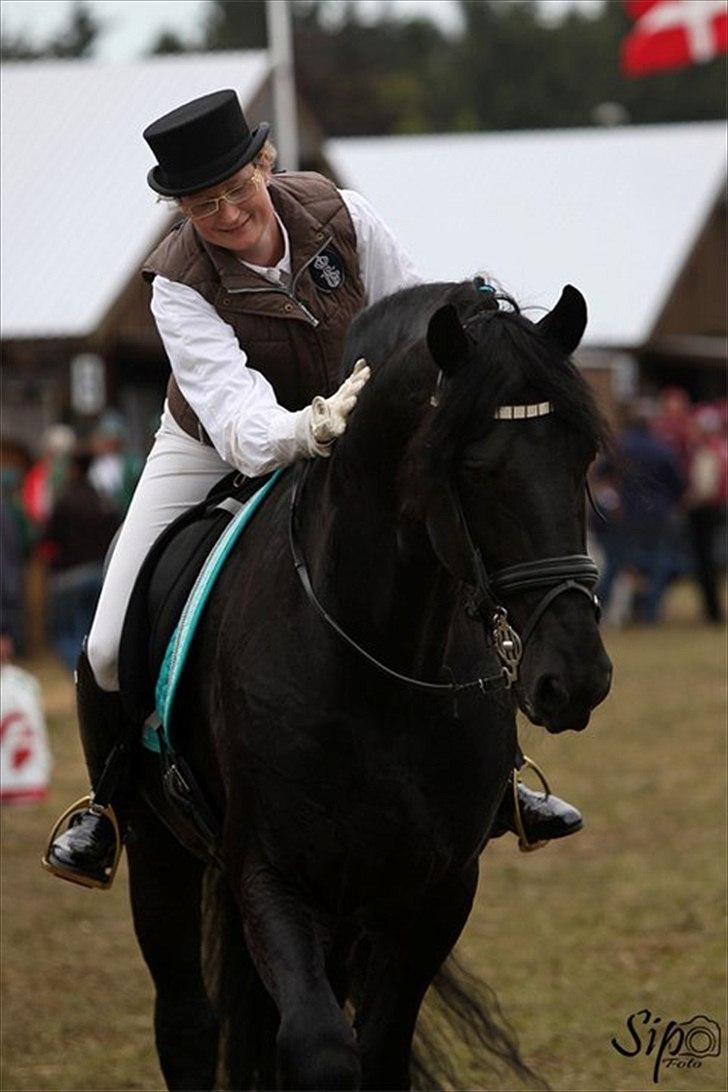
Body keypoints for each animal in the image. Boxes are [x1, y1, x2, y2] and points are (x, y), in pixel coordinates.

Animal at [123, 277, 611, 1087]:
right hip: (159, 856)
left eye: (583, 457)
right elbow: (321, 1051)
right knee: (187, 1022)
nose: (575, 679)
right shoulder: (273, 879)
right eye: (471, 467)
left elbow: (380, 1050)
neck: (382, 667)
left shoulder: (436, 892)